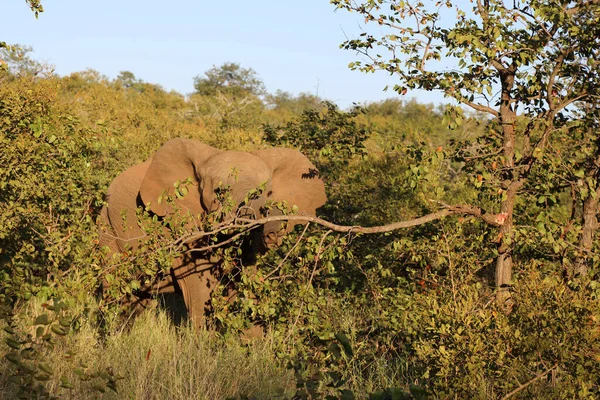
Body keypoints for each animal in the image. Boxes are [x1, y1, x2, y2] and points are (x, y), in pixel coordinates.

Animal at [97, 138, 328, 332]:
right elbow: (198, 281)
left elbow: (248, 278)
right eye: (220, 192)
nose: (273, 233)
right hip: (108, 229)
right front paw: (202, 346)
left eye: (269, 193)